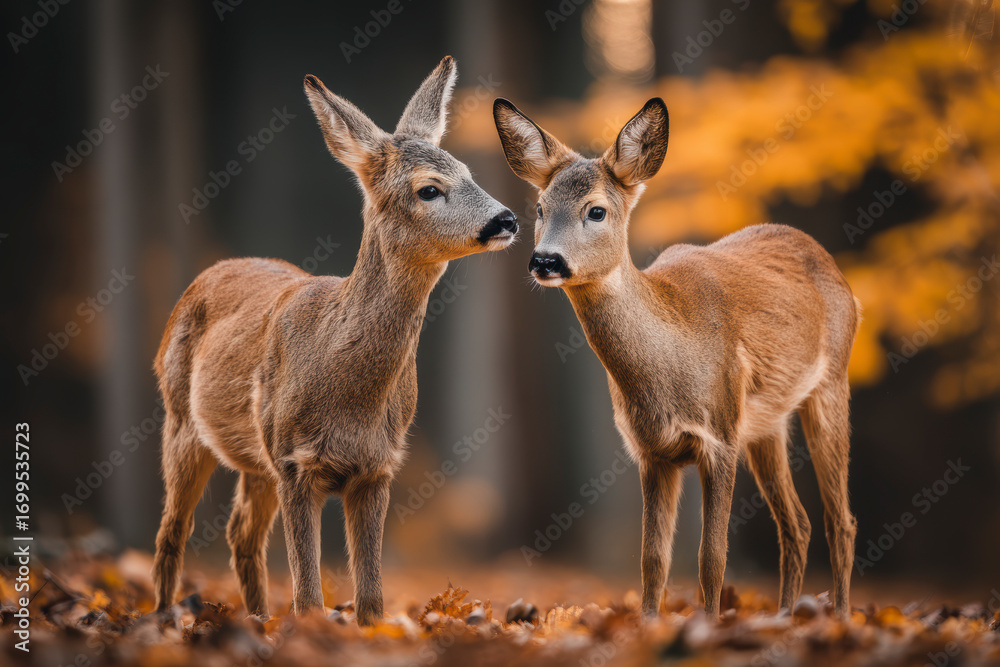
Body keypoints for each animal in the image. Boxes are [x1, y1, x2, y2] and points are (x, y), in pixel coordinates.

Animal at [151, 56, 518, 626]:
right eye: (428, 189)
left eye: (469, 173)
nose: (507, 219)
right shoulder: (294, 462)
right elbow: (308, 597)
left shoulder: (377, 466)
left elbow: (370, 598)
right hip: (183, 421)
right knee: (173, 530)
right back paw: (165, 619)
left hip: (256, 456)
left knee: (240, 533)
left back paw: (257, 621)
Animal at [493, 96, 860, 619]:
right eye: (540, 208)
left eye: (596, 211)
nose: (545, 261)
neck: (669, 366)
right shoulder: (651, 452)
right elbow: (652, 559)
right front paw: (651, 623)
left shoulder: (720, 436)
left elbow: (712, 556)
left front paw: (707, 625)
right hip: (766, 424)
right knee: (797, 524)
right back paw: (785, 617)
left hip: (830, 384)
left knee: (840, 519)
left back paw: (840, 619)